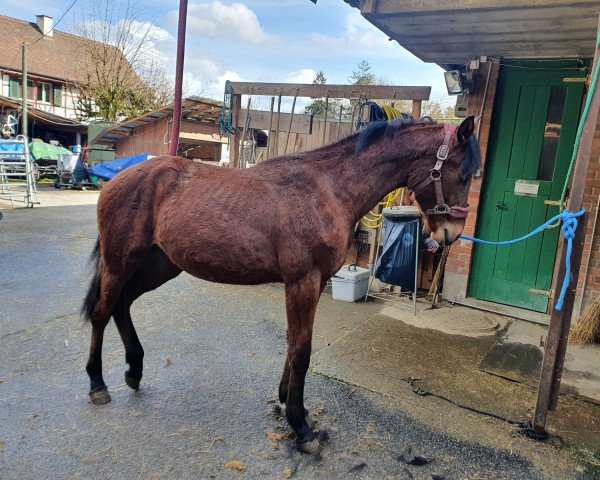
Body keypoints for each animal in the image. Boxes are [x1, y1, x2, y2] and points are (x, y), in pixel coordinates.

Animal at [82, 115, 480, 454]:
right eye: (462, 174)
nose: (450, 235)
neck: (328, 189)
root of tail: (117, 179)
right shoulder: (302, 282)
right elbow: (302, 351)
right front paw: (301, 427)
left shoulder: (316, 283)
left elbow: (293, 344)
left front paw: (285, 398)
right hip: (121, 262)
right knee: (102, 311)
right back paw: (98, 385)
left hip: (159, 266)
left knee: (122, 305)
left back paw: (134, 371)